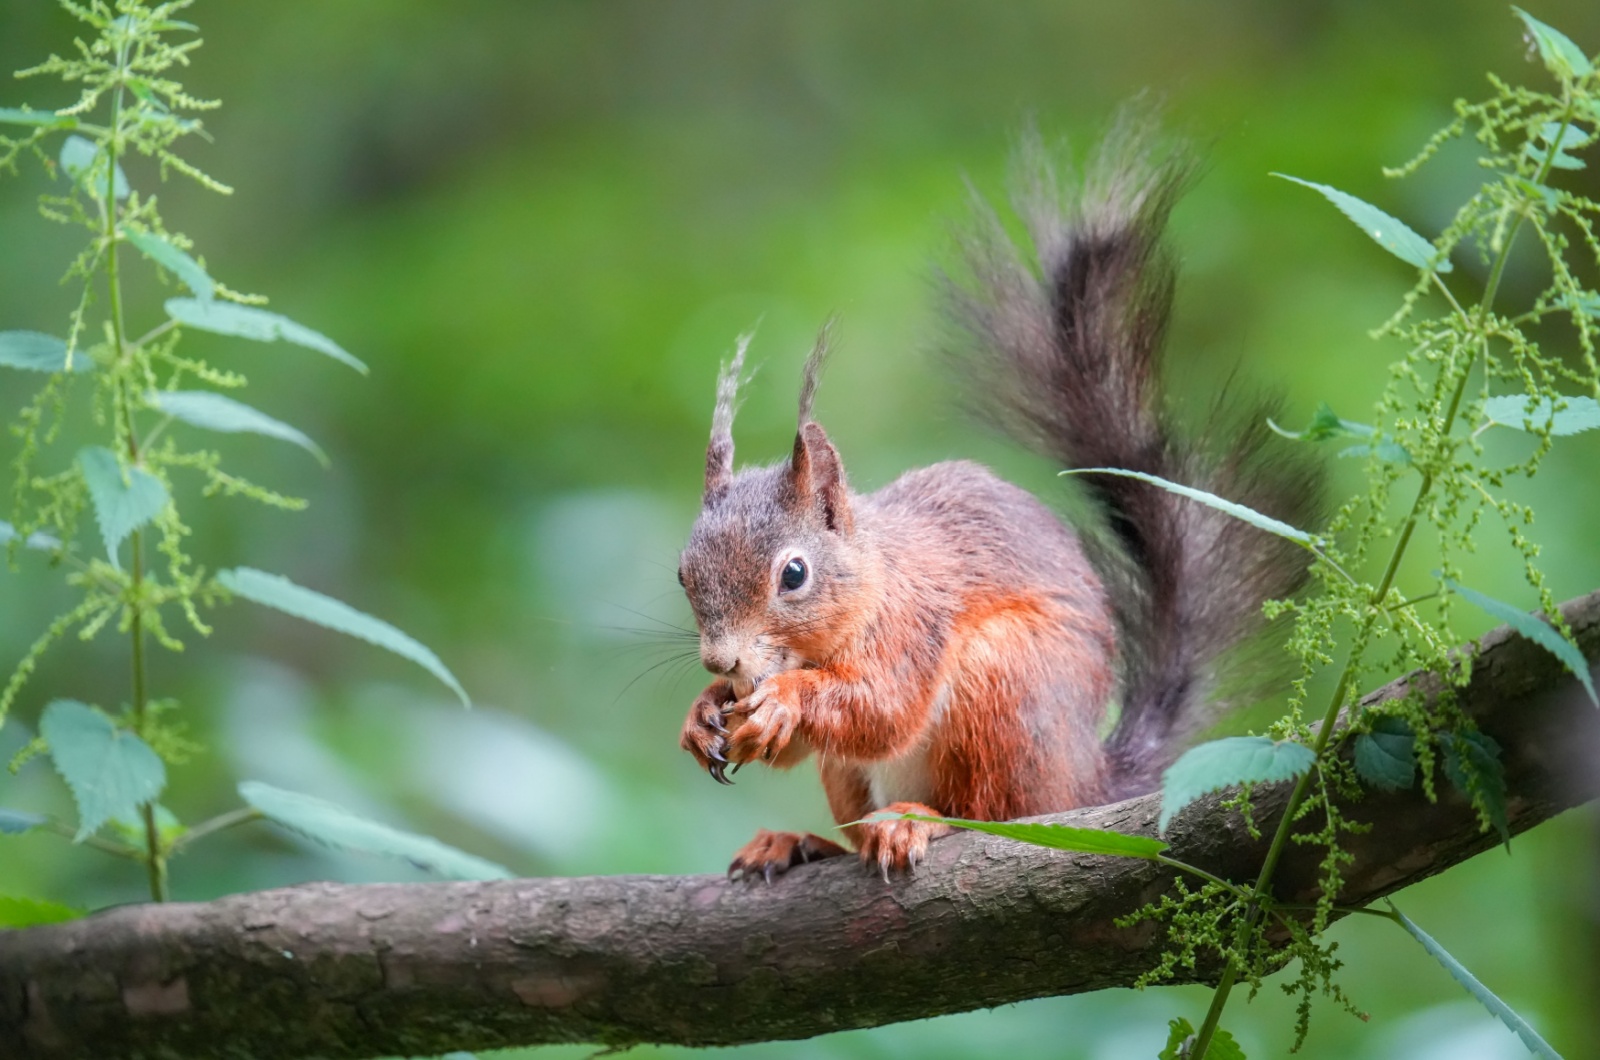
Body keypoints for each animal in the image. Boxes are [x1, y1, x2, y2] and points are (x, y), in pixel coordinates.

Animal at [672, 118, 1312, 877]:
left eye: (793, 574)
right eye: (682, 574)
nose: (723, 663)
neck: (874, 575)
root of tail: (1083, 787)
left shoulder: (915, 623)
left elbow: (884, 708)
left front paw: (781, 703)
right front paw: (702, 712)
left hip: (1005, 684)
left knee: (994, 813)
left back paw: (918, 821)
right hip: (863, 771)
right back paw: (798, 842)